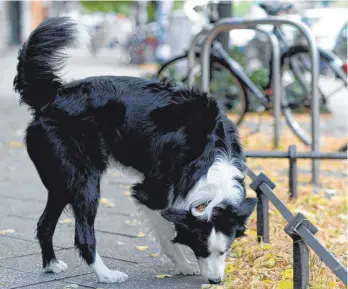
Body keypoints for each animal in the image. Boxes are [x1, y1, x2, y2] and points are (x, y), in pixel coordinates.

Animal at [13, 17, 256, 284]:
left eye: (226, 249)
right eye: (200, 248)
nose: (215, 281)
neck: (210, 155)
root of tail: (52, 97)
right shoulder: (149, 194)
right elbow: (167, 234)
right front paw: (182, 264)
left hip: (62, 184)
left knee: (44, 224)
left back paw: (51, 265)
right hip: (85, 181)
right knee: (83, 234)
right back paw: (106, 275)